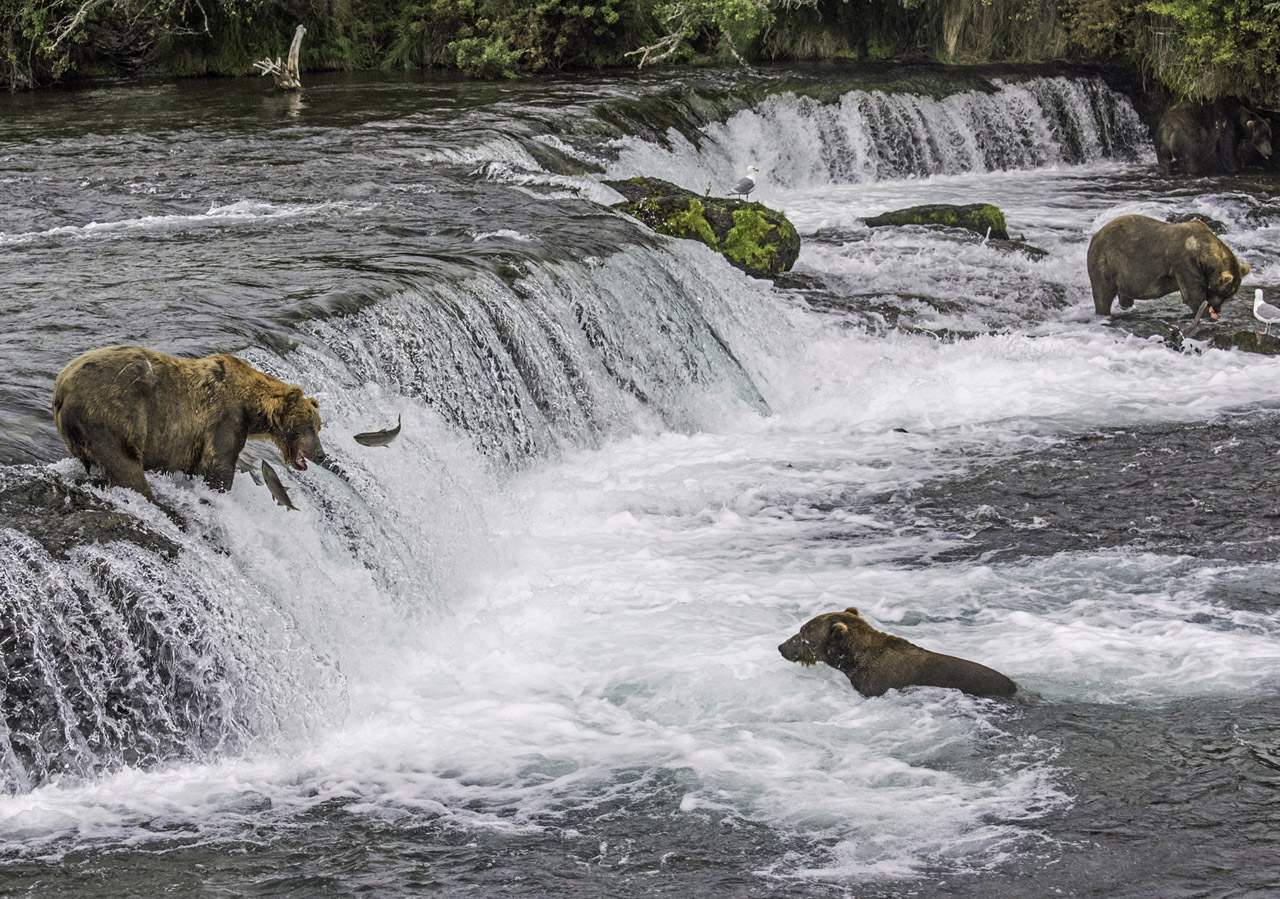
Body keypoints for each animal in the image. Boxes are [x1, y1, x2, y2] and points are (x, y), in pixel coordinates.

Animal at [53, 343, 325, 499]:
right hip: (113, 417)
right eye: (307, 427)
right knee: (125, 467)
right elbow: (218, 465)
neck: (251, 408)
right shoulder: (226, 420)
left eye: (318, 427)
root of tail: (61, 388)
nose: (321, 454)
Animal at [1085, 213, 1254, 318]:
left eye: (1229, 296)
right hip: (1107, 261)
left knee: (1124, 296)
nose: (1217, 309)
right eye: (1223, 293)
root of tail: (1095, 236)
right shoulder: (1184, 262)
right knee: (1102, 294)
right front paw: (1204, 312)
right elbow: (1192, 295)